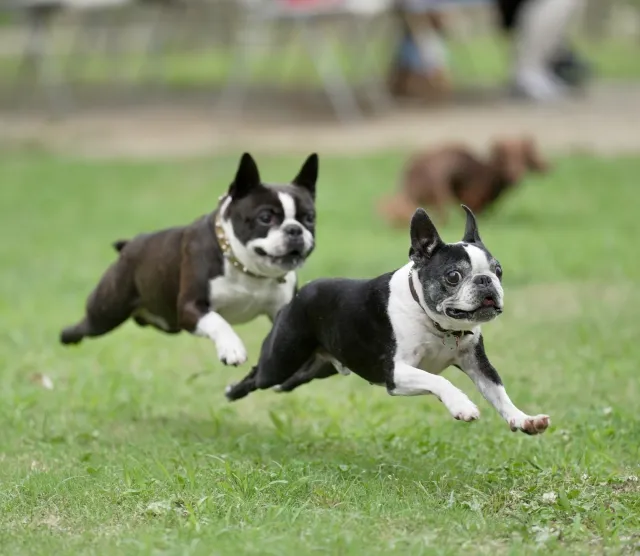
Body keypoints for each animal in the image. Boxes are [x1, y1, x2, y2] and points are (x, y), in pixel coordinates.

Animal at [61, 154, 316, 368]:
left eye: (309, 218)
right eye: (265, 217)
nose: (294, 230)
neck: (246, 269)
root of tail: (129, 245)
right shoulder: (190, 307)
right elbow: (218, 321)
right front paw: (231, 348)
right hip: (106, 311)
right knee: (84, 327)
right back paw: (66, 336)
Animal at [226, 205, 552, 434]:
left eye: (498, 271)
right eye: (453, 276)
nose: (486, 281)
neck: (437, 325)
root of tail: (300, 293)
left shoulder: (479, 365)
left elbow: (499, 393)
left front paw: (523, 419)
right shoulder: (396, 373)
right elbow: (439, 379)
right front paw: (461, 405)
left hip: (317, 367)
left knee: (288, 382)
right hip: (281, 359)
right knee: (258, 375)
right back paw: (232, 390)